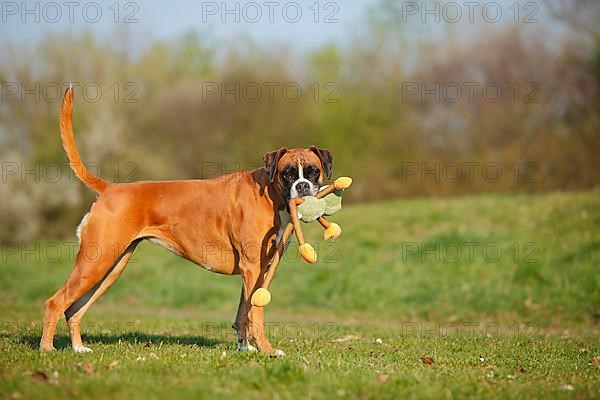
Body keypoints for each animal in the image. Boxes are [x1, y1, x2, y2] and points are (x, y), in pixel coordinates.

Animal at [39, 88, 332, 356]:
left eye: (313, 171)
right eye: (287, 173)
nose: (303, 186)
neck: (270, 193)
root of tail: (110, 188)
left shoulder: (260, 269)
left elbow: (243, 312)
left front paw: (245, 348)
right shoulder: (252, 268)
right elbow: (255, 313)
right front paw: (267, 351)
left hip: (109, 267)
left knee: (74, 309)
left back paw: (78, 348)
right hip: (95, 263)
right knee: (55, 302)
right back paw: (47, 349)